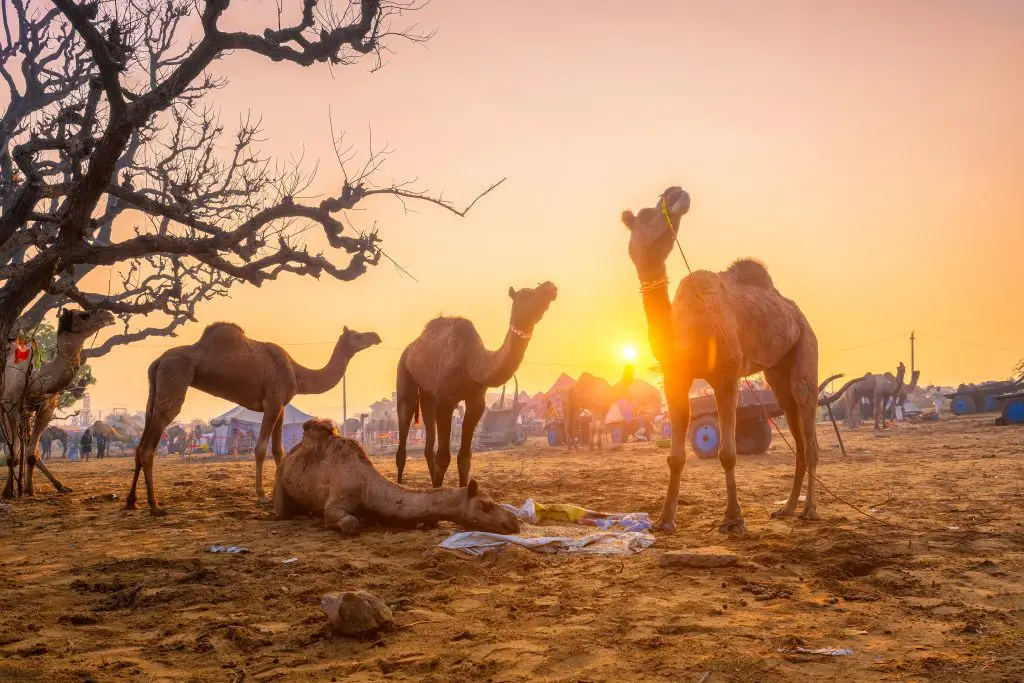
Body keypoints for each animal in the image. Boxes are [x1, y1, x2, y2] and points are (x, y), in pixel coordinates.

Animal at [126, 323, 380, 516]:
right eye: (357, 335)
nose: (376, 336)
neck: (297, 373)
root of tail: (157, 362)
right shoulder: (273, 401)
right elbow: (260, 449)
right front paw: (262, 495)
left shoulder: (281, 406)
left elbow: (278, 450)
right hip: (174, 381)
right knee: (148, 447)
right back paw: (155, 505)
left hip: (153, 395)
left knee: (139, 446)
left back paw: (132, 501)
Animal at [272, 419, 520, 536]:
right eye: (486, 505)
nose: (514, 522)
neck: (367, 487)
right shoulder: (336, 501)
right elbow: (350, 522)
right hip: (280, 479)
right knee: (282, 511)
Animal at [391, 282, 557, 485]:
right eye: (525, 294)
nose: (549, 286)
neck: (471, 361)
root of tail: (410, 348)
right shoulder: (445, 400)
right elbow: (443, 457)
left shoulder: (476, 402)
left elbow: (464, 458)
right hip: (404, 370)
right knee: (405, 413)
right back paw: (400, 484)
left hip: (427, 390)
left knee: (428, 439)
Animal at [622, 187, 856, 532]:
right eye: (647, 214)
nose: (675, 192)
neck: (683, 329)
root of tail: (797, 313)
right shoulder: (675, 378)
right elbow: (675, 457)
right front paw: (664, 520)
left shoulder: (726, 375)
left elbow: (728, 453)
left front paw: (733, 519)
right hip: (777, 373)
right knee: (796, 432)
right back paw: (787, 508)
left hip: (806, 346)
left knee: (808, 424)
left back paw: (810, 510)